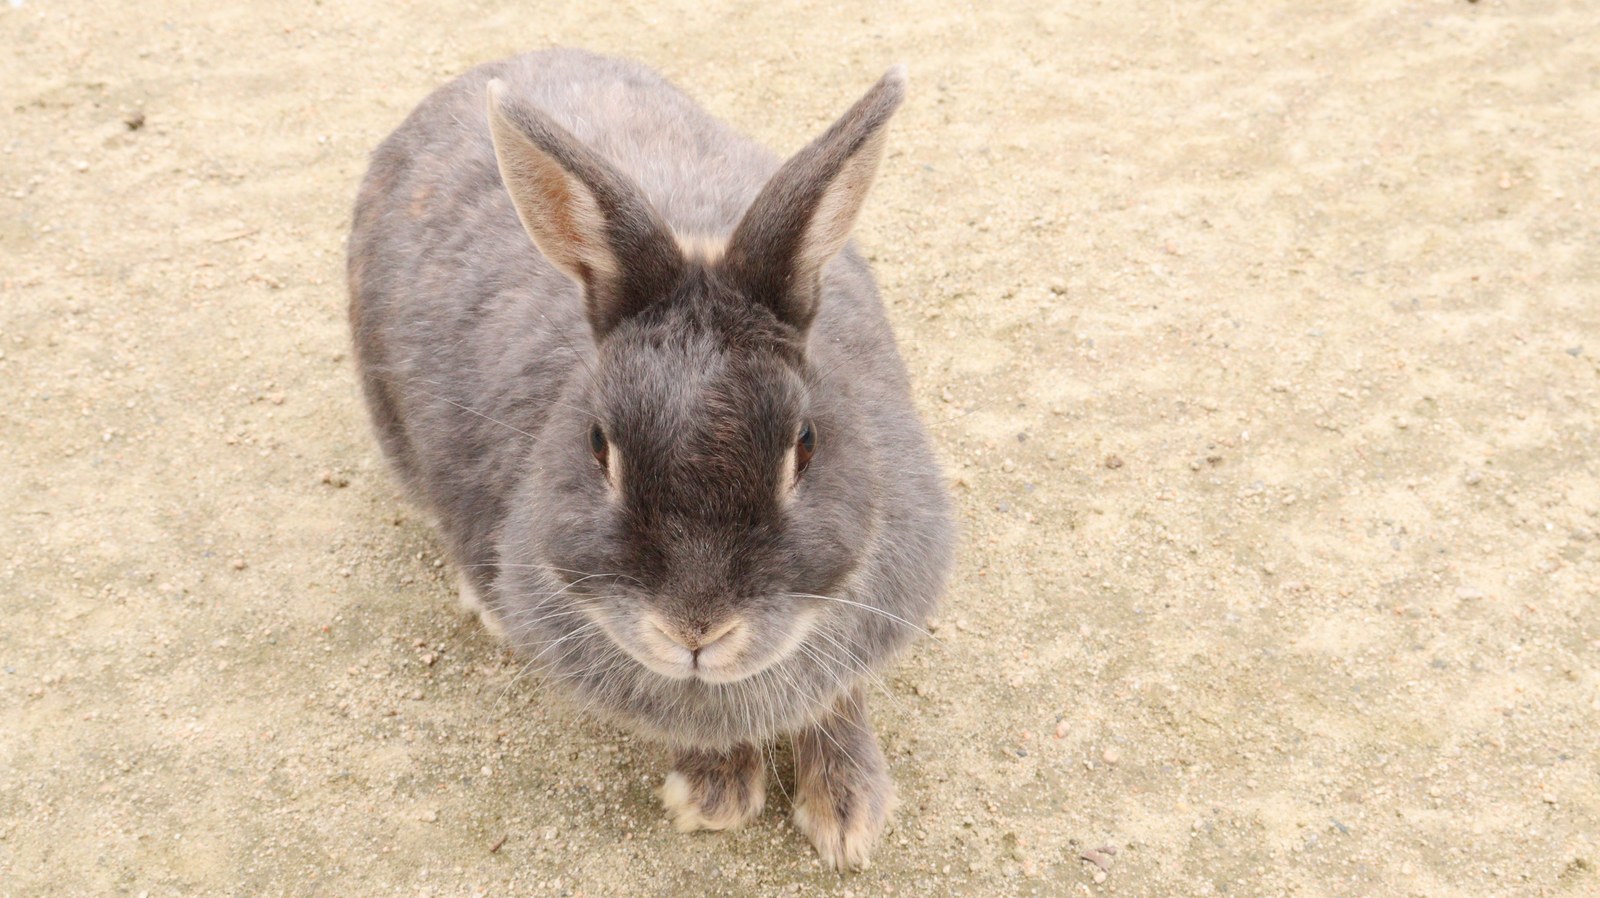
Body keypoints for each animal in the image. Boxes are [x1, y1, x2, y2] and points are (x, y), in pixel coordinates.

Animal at [347, 48, 953, 870]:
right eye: (598, 444)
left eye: (805, 444)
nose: (694, 632)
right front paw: (714, 798)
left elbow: (836, 695)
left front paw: (849, 815)